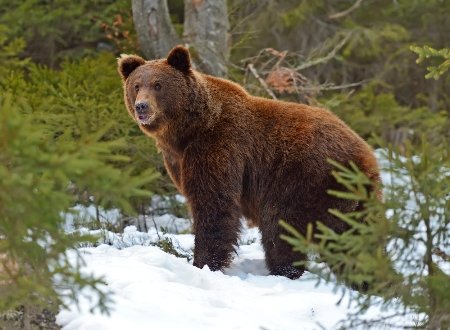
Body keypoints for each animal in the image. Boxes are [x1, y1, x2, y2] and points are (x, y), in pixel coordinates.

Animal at [117, 46, 380, 278]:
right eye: (136, 85)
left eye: (158, 85)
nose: (142, 106)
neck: (186, 132)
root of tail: (366, 155)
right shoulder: (177, 160)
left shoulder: (220, 145)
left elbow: (214, 204)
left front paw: (203, 263)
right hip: (352, 198)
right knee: (355, 241)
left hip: (305, 180)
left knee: (282, 227)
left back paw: (284, 271)